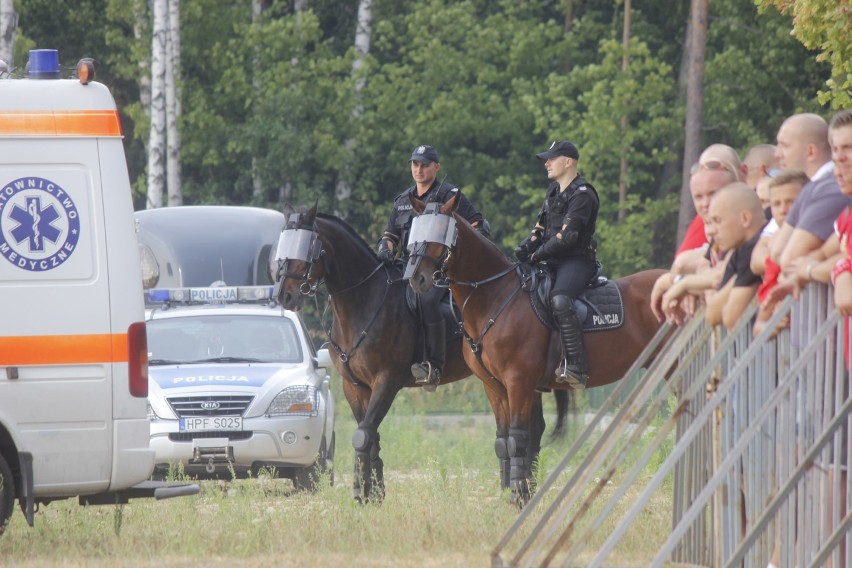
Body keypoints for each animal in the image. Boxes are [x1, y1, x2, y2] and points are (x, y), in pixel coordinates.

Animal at [272, 203, 564, 502]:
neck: (365, 301)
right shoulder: (354, 386)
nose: (284, 295)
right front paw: (373, 494)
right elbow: (370, 435)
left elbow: (363, 434)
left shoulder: (386, 381)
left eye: (307, 246)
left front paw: (362, 493)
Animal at [404, 194, 664, 502]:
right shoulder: (493, 386)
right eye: (415, 231)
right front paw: (511, 493)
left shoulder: (519, 383)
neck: (495, 296)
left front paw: (519, 495)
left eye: (440, 234)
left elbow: (518, 438)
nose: (416, 279)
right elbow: (503, 440)